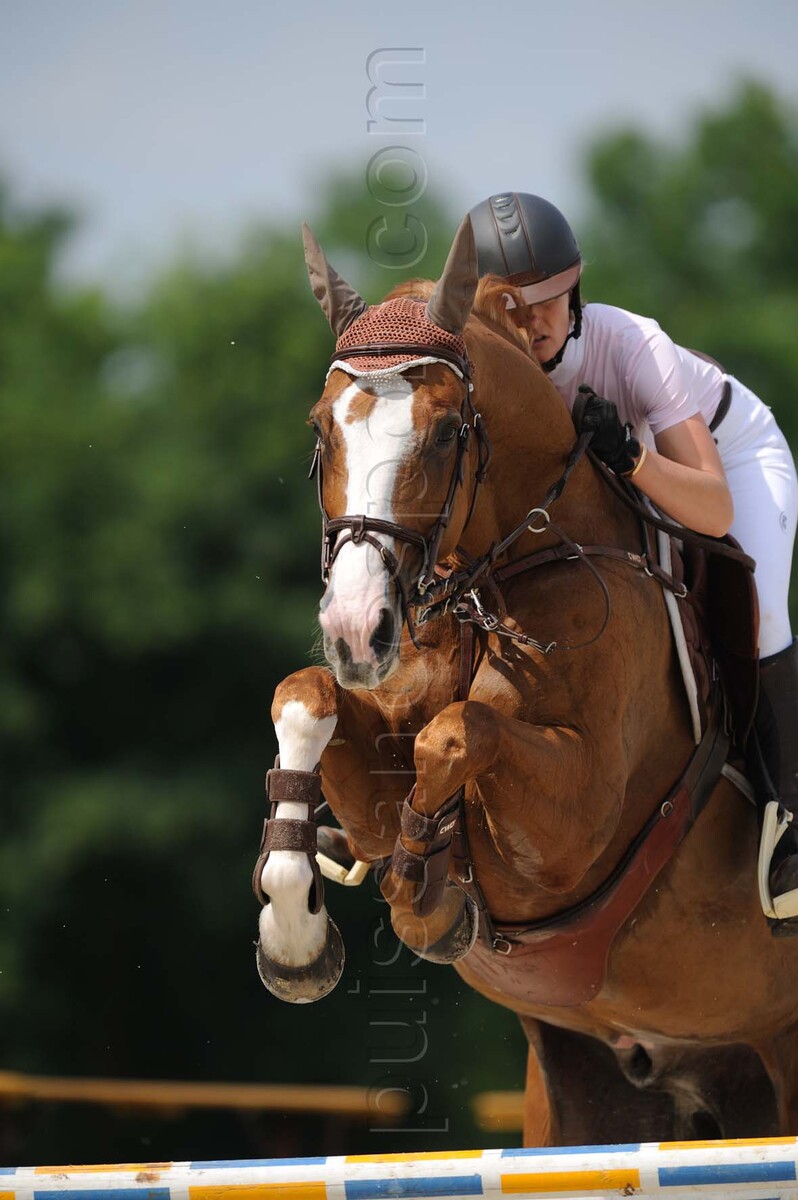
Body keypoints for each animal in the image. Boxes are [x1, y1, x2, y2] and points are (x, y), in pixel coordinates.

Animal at [252, 216, 798, 1144]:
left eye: (445, 434)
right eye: (321, 431)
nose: (358, 631)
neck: (505, 574)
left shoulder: (578, 823)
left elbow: (458, 732)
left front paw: (430, 893)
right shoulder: (370, 757)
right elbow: (305, 695)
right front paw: (296, 938)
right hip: (602, 1092)